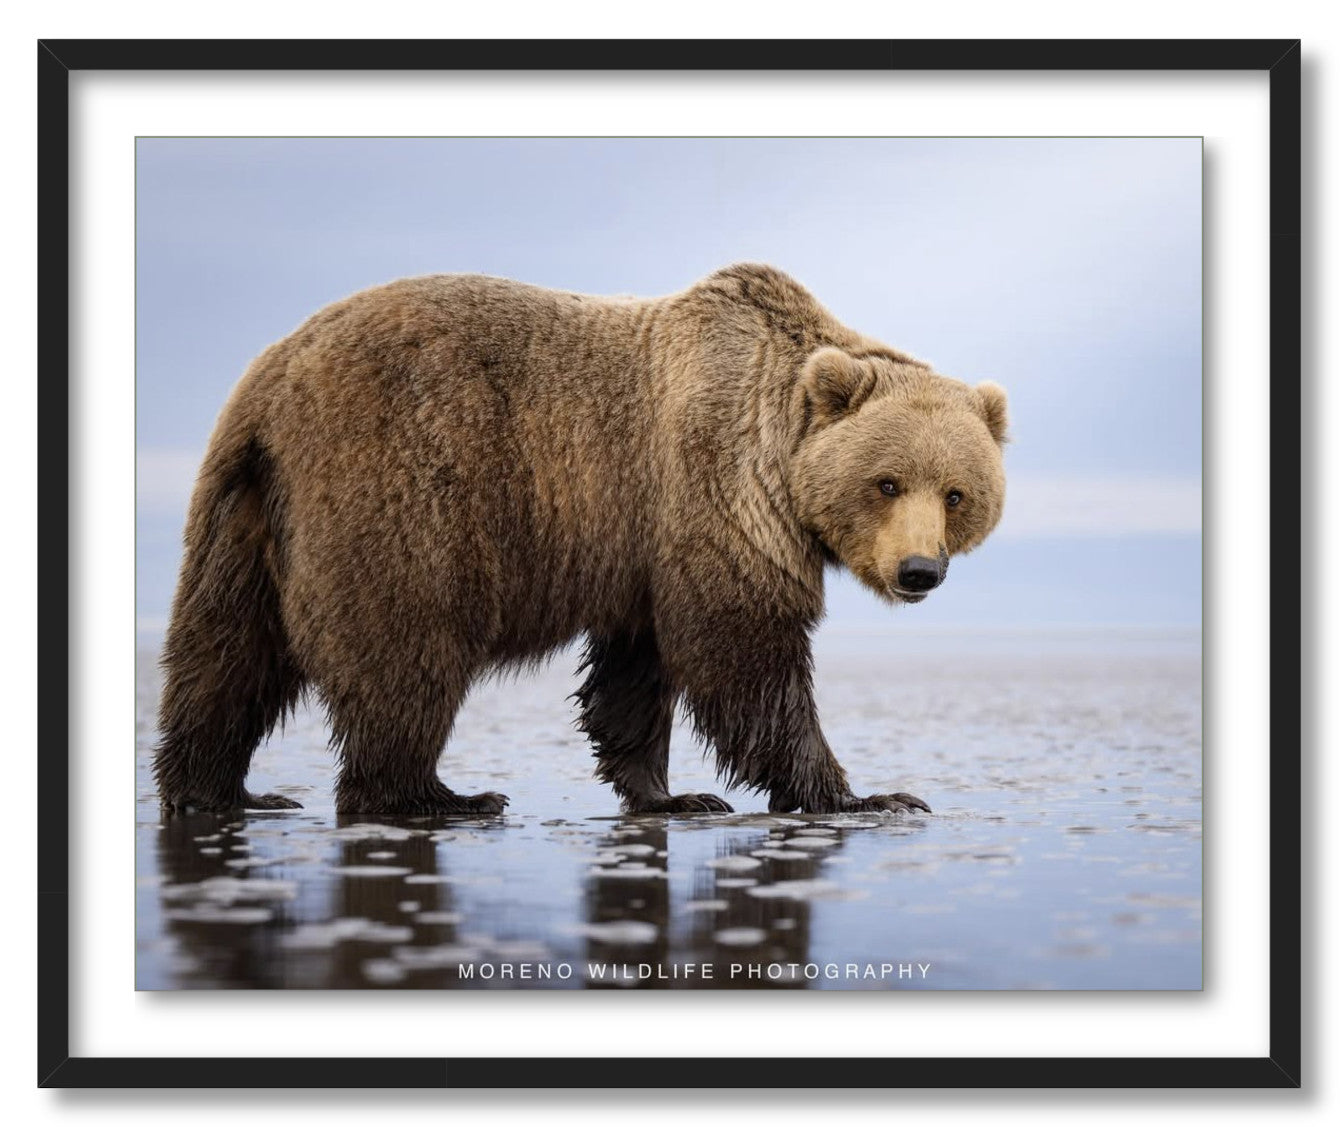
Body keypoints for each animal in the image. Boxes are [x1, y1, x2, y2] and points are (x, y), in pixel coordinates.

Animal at [153, 264, 1008, 817]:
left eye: (957, 492)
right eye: (887, 482)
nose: (919, 570)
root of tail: (271, 383)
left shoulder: (641, 545)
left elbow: (637, 669)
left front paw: (672, 793)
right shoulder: (714, 489)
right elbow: (744, 651)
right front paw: (869, 794)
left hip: (243, 513)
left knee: (226, 654)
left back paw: (222, 789)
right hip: (399, 483)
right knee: (406, 647)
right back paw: (437, 794)